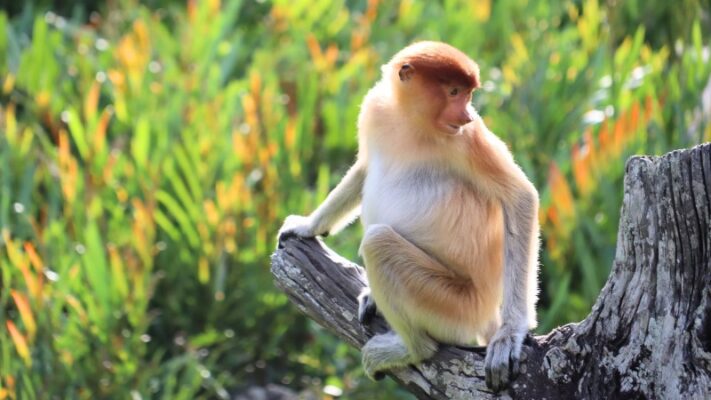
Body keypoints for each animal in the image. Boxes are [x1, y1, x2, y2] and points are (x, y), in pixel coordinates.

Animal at [279, 41, 539, 392]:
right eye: (454, 91)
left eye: (467, 94)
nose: (467, 115)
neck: (409, 119)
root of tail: (484, 313)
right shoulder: (374, 108)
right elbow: (364, 167)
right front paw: (305, 226)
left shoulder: (466, 138)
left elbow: (520, 198)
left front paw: (510, 334)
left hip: (457, 307)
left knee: (378, 243)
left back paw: (413, 349)